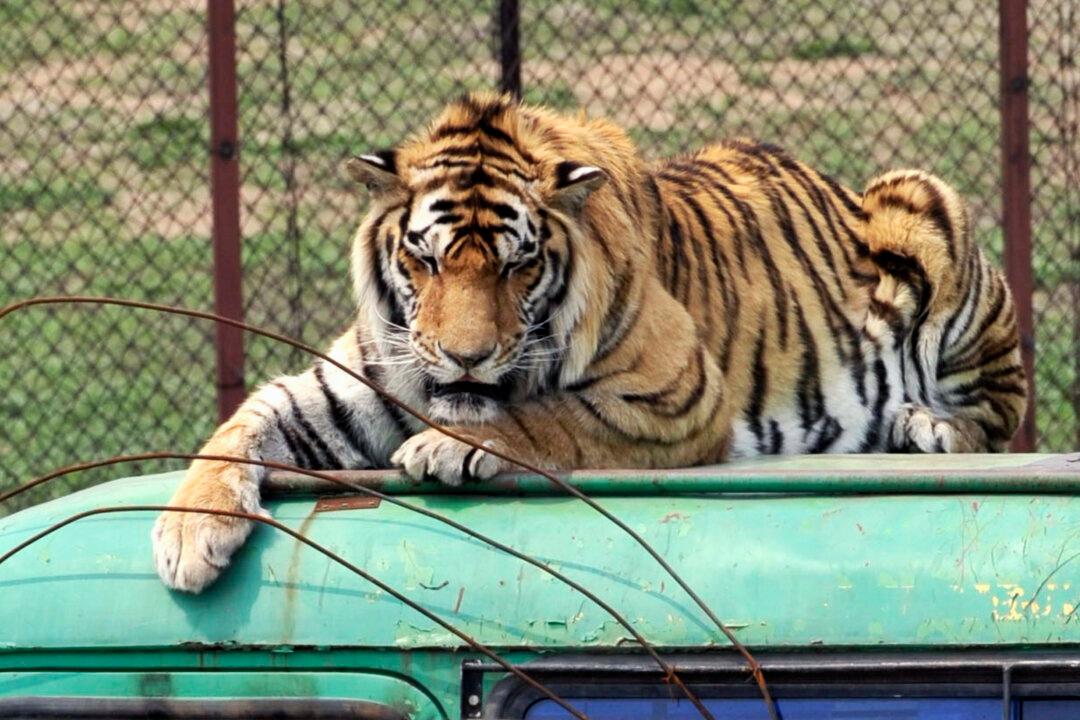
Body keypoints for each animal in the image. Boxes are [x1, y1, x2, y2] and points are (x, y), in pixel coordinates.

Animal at [153, 92, 1027, 593]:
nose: (467, 357)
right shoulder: (343, 386)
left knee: (999, 411)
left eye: (519, 264)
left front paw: (449, 444)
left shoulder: (675, 394)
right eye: (426, 260)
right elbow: (240, 426)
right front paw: (189, 534)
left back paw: (925, 427)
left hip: (926, 206)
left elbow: (549, 418)